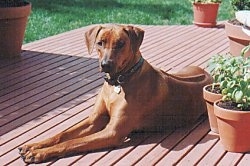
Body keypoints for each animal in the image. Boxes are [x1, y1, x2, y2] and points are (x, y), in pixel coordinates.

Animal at [18, 24, 212, 163]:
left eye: (120, 44)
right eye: (100, 43)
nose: (106, 65)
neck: (117, 83)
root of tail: (207, 74)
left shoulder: (112, 132)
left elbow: (72, 142)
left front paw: (39, 153)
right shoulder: (94, 119)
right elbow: (63, 134)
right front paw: (34, 145)